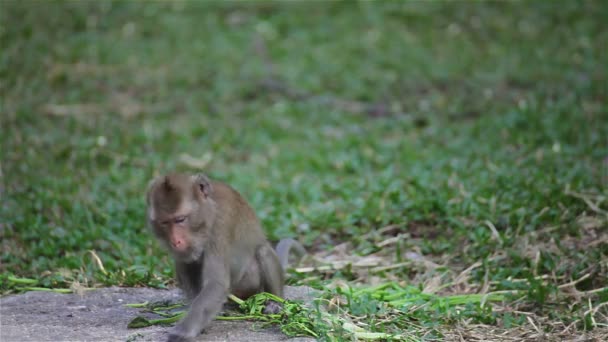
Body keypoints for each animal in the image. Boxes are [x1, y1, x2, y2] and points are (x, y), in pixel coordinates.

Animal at [145, 174, 306, 342]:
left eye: (180, 219)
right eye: (164, 222)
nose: (175, 241)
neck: (209, 209)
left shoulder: (219, 226)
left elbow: (216, 283)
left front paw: (184, 330)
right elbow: (187, 263)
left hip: (251, 285)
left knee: (263, 252)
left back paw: (275, 302)